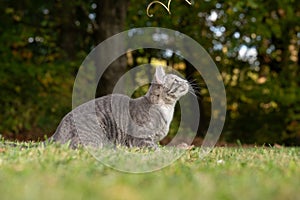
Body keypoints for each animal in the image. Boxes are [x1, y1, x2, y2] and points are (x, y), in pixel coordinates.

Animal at [49, 67, 190, 148]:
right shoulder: (141, 139)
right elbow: (159, 150)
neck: (167, 110)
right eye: (176, 81)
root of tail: (57, 131)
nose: (187, 82)